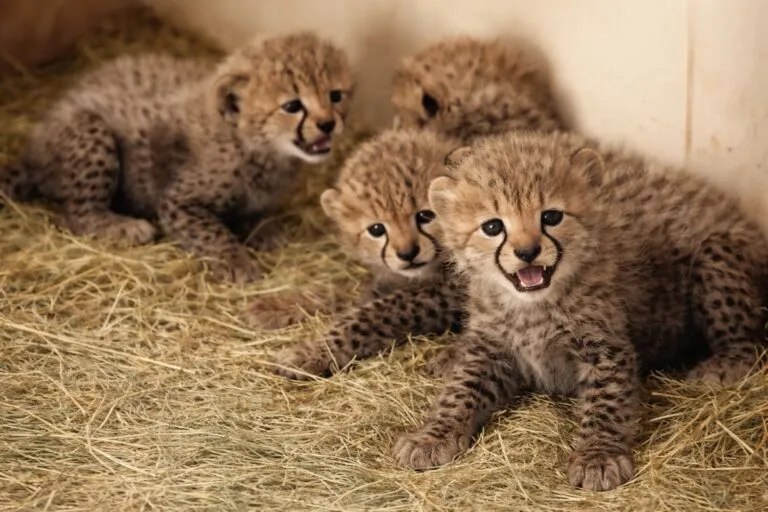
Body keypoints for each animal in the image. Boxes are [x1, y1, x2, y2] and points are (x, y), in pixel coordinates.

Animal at [0, 32, 354, 282]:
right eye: (292, 106)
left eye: (335, 96)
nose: (328, 124)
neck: (253, 146)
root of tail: (32, 149)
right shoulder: (178, 202)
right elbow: (212, 232)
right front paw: (235, 261)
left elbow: (251, 212)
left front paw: (262, 228)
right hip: (91, 132)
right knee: (77, 215)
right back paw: (124, 227)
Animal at [264, 128, 467, 379]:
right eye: (377, 230)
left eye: (426, 215)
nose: (407, 253)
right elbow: (346, 290)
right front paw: (274, 306)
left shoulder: (446, 292)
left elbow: (374, 314)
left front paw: (310, 353)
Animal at [393, 130, 768, 491]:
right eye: (492, 227)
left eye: (551, 217)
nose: (527, 252)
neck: (533, 306)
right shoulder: (492, 349)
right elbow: (460, 390)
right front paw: (432, 436)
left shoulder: (604, 349)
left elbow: (606, 403)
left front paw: (598, 457)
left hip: (714, 251)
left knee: (748, 342)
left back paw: (725, 364)